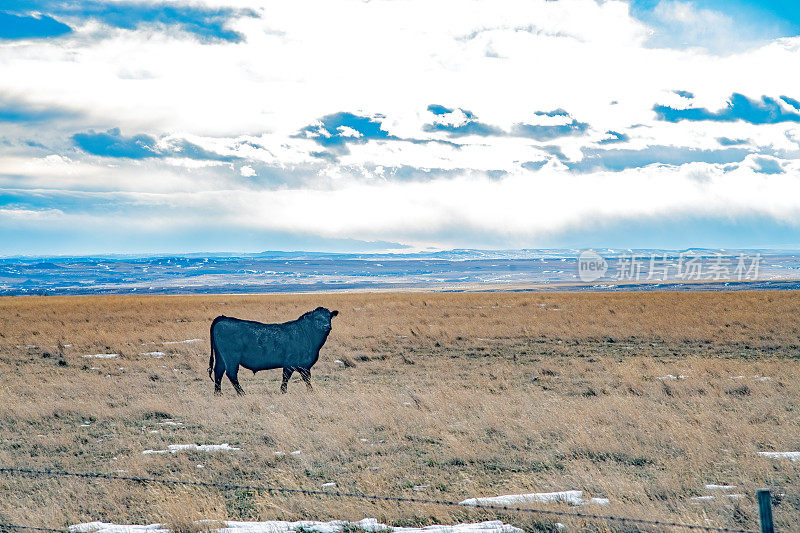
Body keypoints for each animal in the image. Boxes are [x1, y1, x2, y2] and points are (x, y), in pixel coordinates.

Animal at [209, 306, 338, 392]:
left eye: (329, 317)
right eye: (317, 318)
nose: (326, 326)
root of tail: (224, 318)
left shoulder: (304, 366)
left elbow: (306, 379)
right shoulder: (291, 364)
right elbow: (287, 379)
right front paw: (283, 392)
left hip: (220, 357)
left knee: (218, 372)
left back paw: (218, 394)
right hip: (231, 358)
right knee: (231, 374)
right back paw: (242, 394)